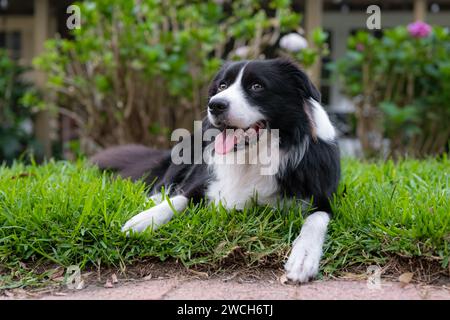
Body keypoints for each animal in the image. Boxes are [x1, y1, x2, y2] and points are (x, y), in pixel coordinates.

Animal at [91, 58, 340, 282]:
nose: (215, 104)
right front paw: (143, 220)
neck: (254, 158)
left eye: (257, 86)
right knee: (164, 186)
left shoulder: (322, 198)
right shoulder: (202, 182)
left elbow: (316, 220)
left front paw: (303, 258)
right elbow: (179, 199)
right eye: (222, 86)